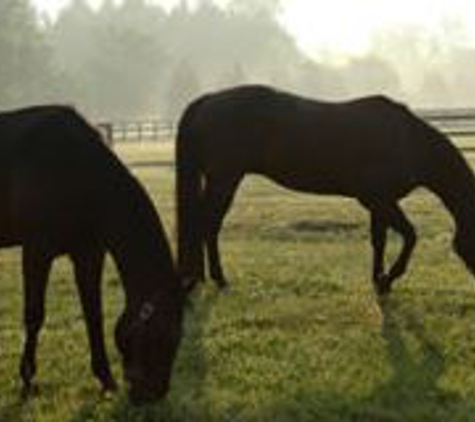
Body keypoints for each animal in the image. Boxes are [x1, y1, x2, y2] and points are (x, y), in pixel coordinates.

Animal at [0, 105, 185, 406]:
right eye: (163, 335)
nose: (153, 394)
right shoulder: (36, 250)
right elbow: (34, 314)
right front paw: (27, 380)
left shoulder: (89, 253)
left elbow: (93, 314)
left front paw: (106, 379)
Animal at [176, 84, 475, 296]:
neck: (407, 140)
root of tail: (209, 100)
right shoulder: (380, 200)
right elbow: (410, 236)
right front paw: (389, 279)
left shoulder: (378, 202)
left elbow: (379, 240)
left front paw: (378, 280)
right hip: (224, 180)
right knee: (208, 225)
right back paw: (219, 280)